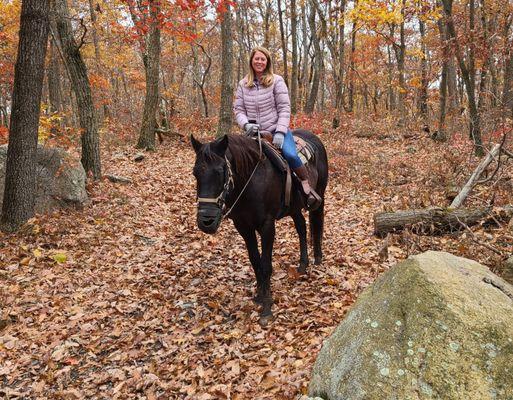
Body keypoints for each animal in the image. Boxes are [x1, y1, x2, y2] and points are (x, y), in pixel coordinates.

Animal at [191, 131, 328, 324]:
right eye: (195, 173)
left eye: (221, 171)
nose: (206, 221)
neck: (251, 181)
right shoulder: (243, 226)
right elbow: (255, 261)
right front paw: (259, 295)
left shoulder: (267, 226)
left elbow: (266, 264)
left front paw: (267, 307)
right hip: (294, 207)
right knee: (301, 227)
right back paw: (302, 264)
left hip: (320, 195)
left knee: (317, 223)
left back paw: (317, 257)